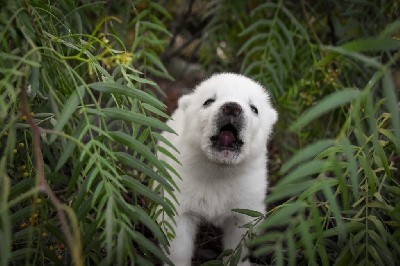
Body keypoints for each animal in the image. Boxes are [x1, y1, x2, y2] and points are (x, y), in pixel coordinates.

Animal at [158, 73, 276, 266]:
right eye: (208, 101)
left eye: (254, 108)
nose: (232, 108)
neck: (219, 170)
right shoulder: (180, 195)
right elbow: (178, 246)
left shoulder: (246, 202)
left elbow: (238, 244)